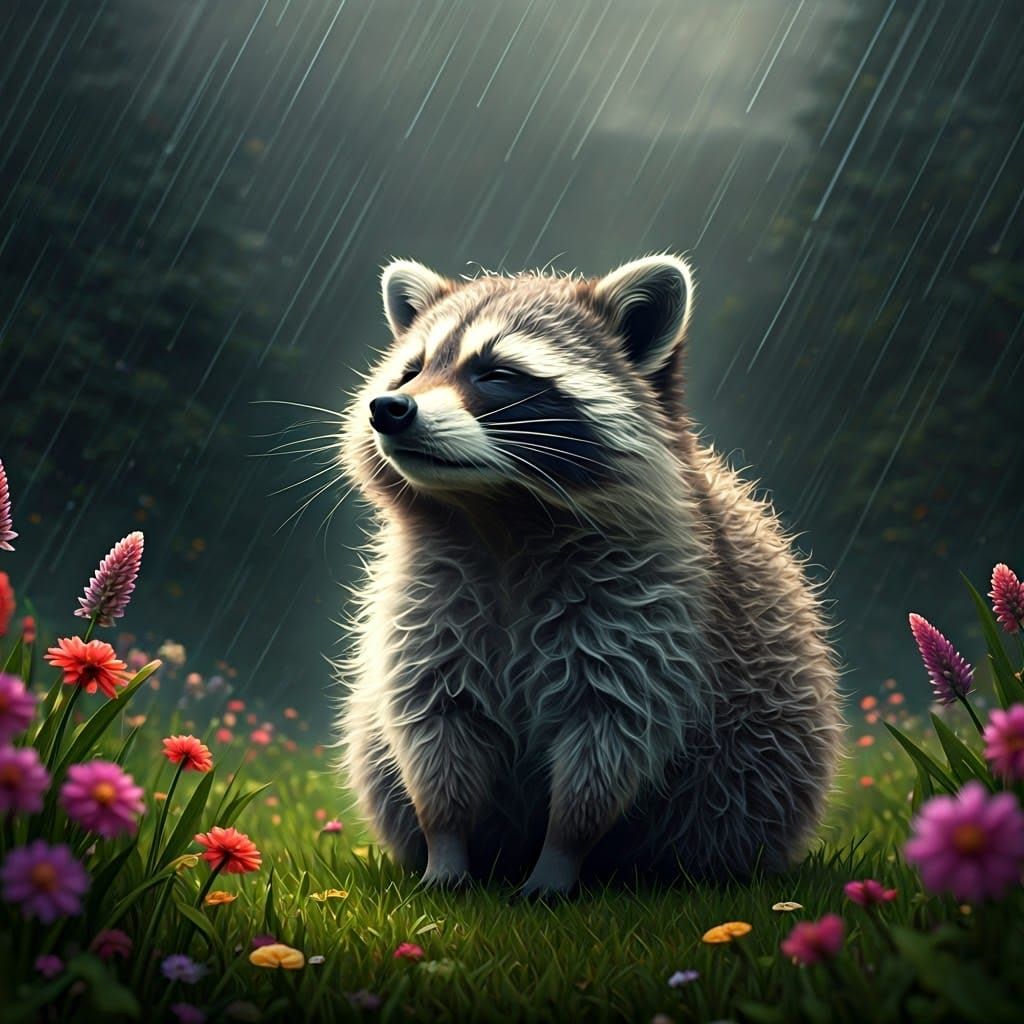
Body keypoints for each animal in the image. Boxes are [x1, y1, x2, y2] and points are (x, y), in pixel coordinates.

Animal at [337, 254, 843, 899]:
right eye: (413, 370)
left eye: (496, 373)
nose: (389, 408)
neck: (500, 516)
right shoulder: (426, 602)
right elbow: (433, 730)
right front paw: (445, 849)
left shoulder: (656, 607)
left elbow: (609, 742)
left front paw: (558, 859)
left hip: (760, 770)